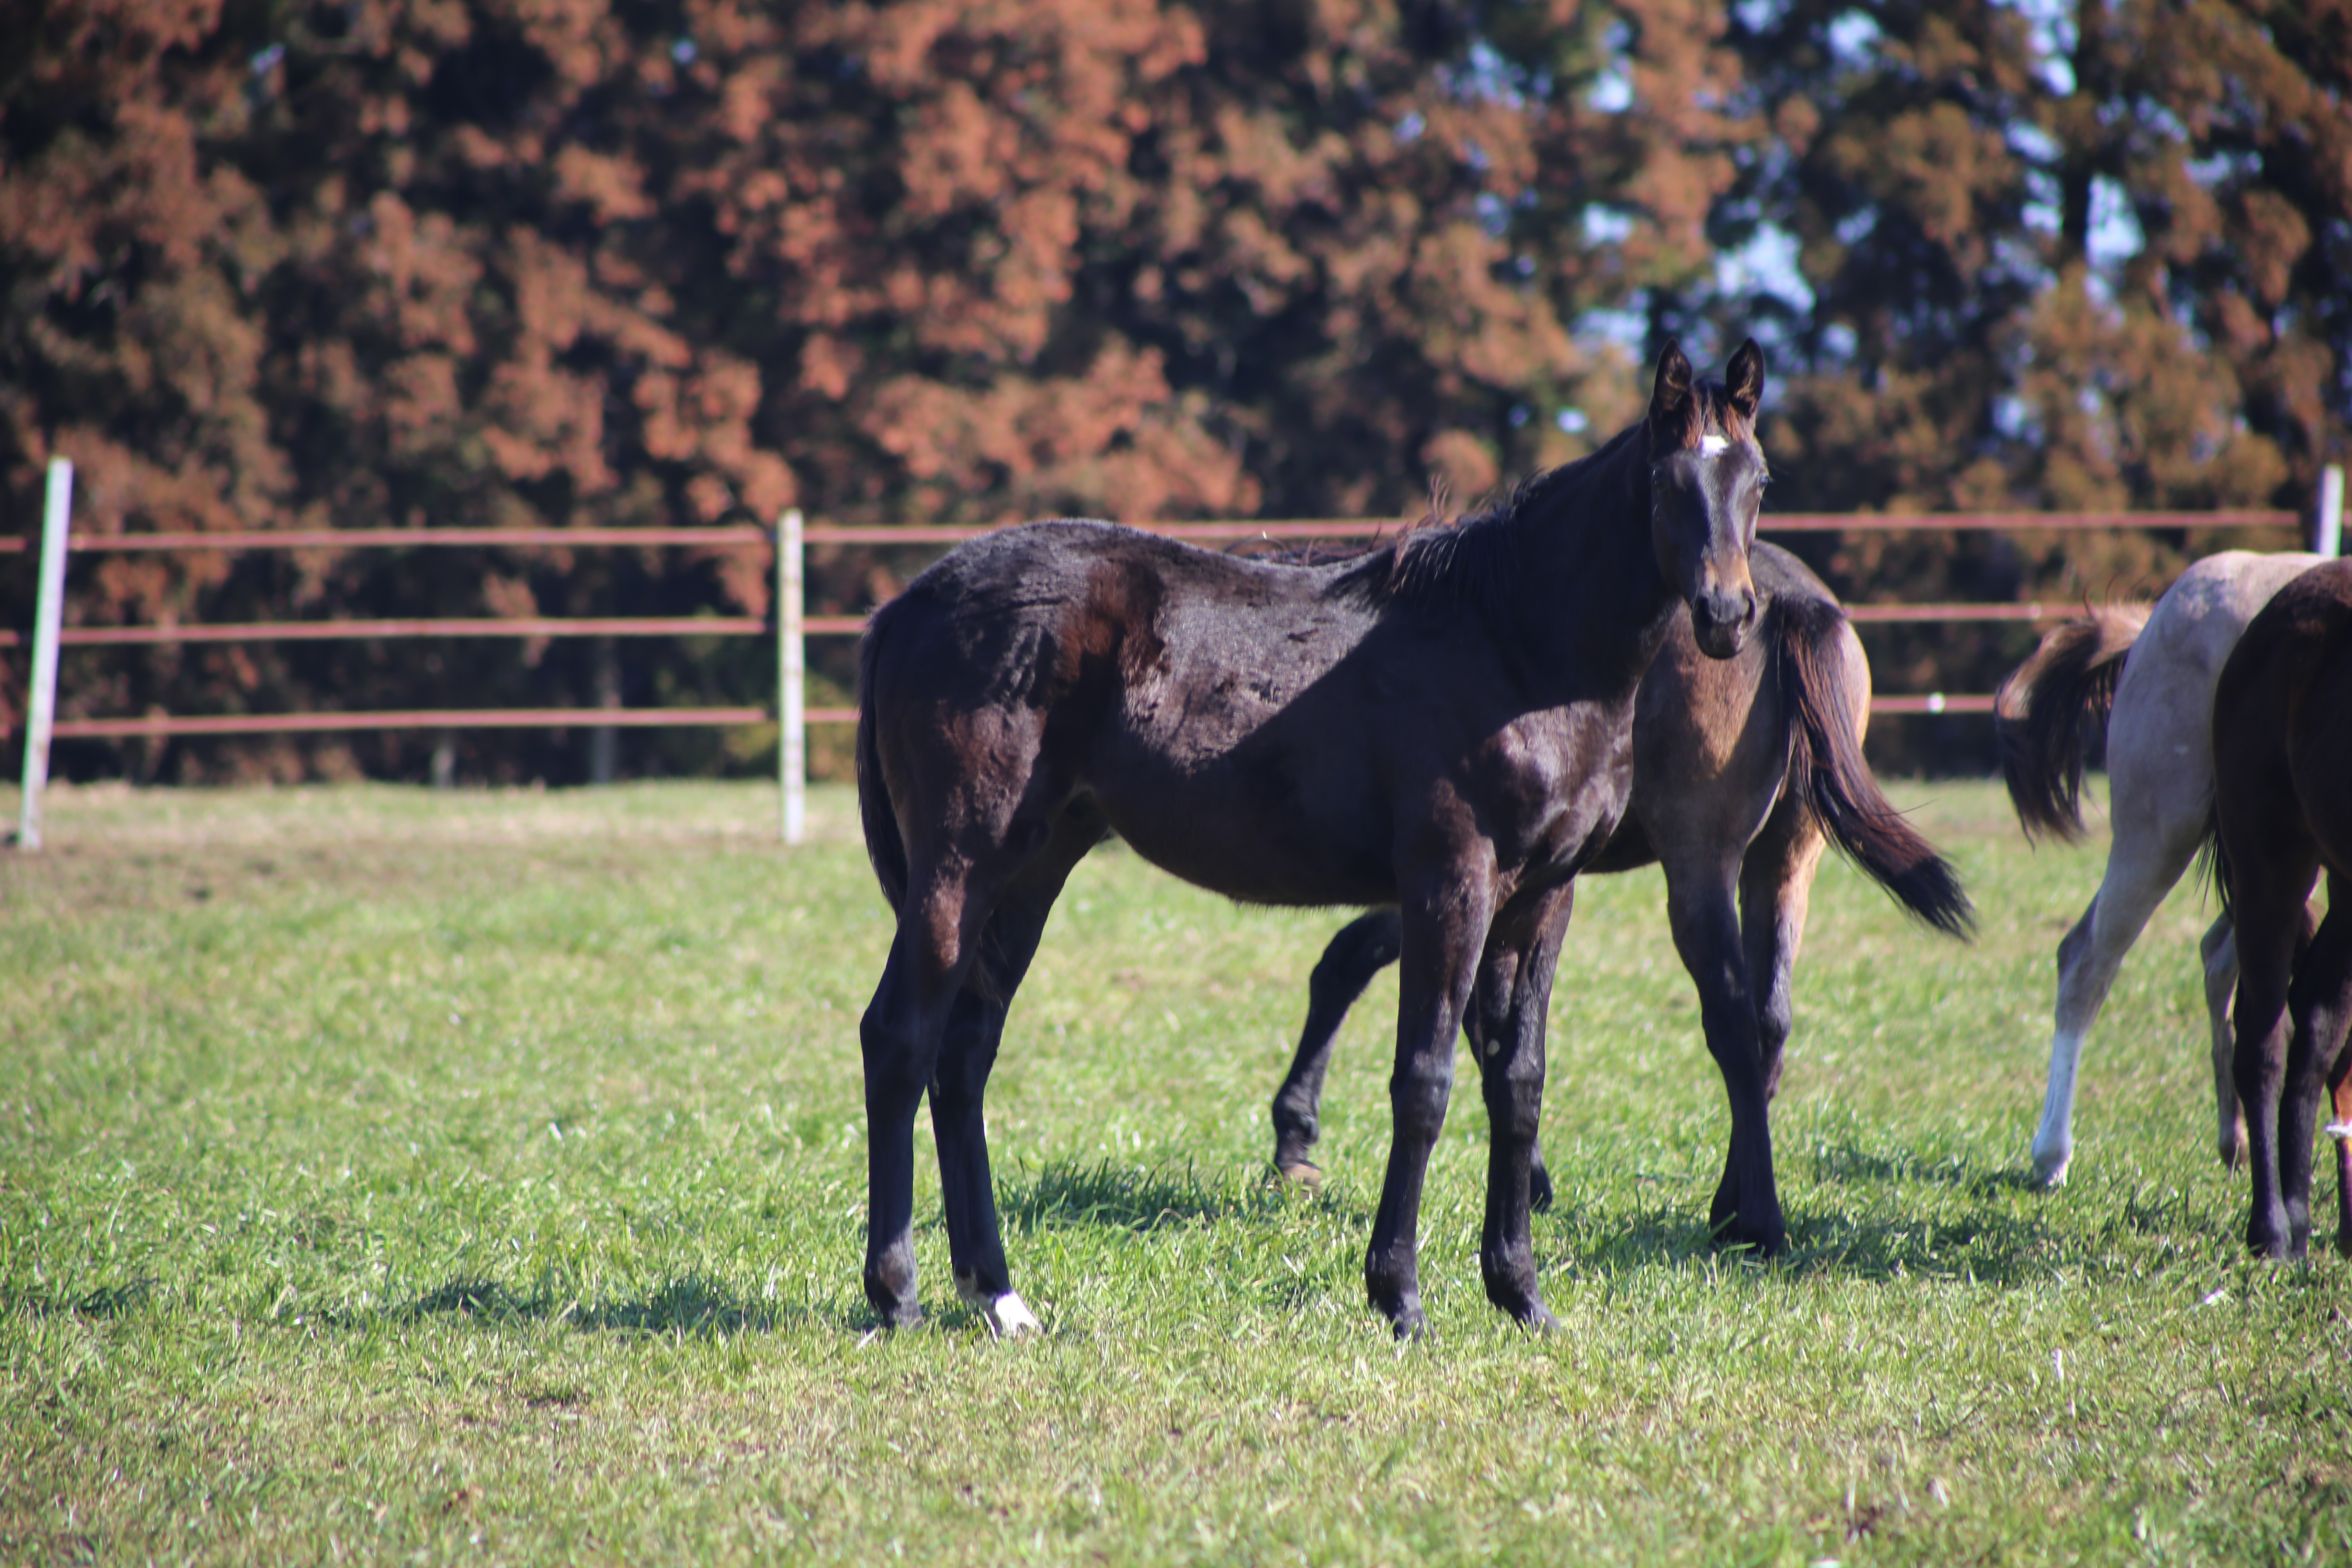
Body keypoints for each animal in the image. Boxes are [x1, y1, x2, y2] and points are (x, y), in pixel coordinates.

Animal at [861, 341, 1768, 1335]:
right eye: (1667, 480)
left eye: (1757, 480)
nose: (1727, 616)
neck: (1519, 645)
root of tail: (906, 606)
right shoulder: (1452, 882)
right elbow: (1424, 1082)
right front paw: (1400, 1296)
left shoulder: (1544, 895)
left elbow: (1519, 1083)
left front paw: (1521, 1294)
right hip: (961, 865)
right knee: (900, 1039)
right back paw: (897, 1294)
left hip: (1032, 869)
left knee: (964, 1055)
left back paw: (998, 1296)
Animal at [1270, 541, 1966, 1222]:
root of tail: (1787, 598)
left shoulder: (1457, 870)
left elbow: (1354, 968)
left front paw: (1295, 1136)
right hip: (1787, 858)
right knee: (1770, 1018)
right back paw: (1733, 1198)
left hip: (1699, 860)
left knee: (1732, 1018)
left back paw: (1747, 1216)